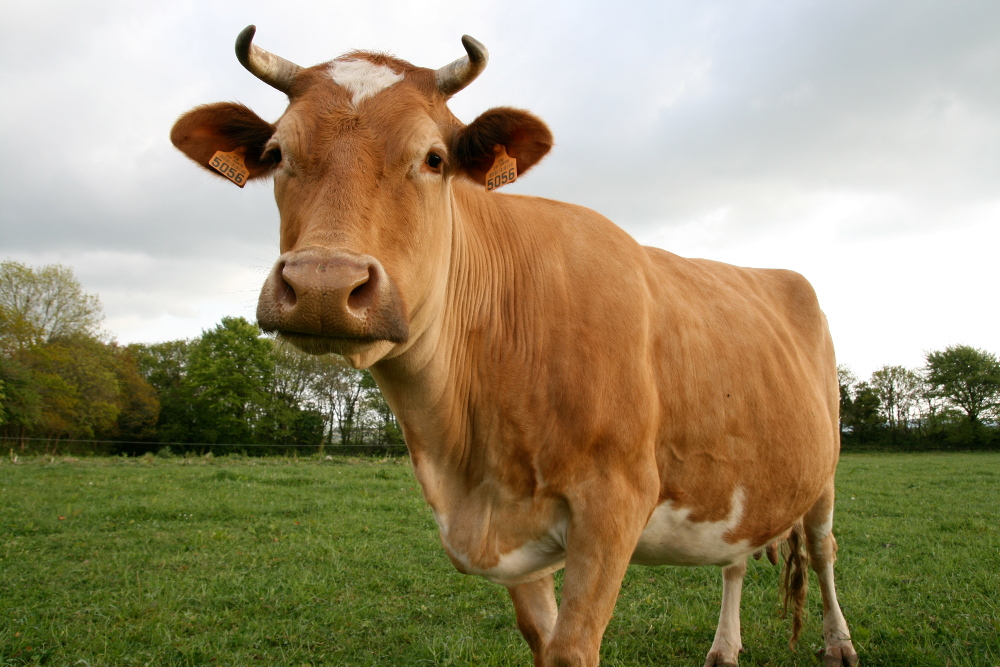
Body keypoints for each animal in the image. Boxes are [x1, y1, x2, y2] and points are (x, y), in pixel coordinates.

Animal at [172, 27, 860, 667]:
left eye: (433, 158)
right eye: (276, 152)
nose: (322, 284)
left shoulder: (614, 503)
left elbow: (573, 648)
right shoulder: (515, 537)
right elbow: (542, 639)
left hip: (825, 466)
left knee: (823, 550)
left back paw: (839, 644)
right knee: (735, 559)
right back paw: (724, 647)